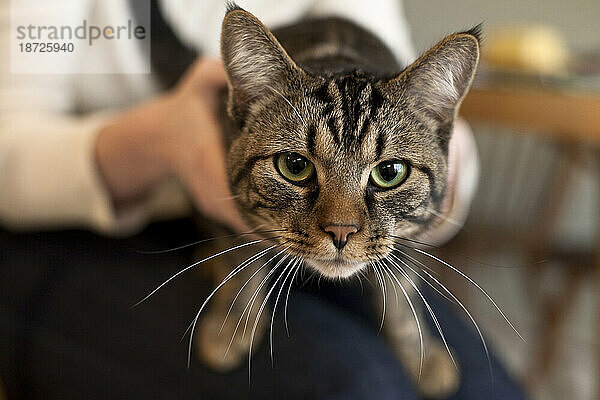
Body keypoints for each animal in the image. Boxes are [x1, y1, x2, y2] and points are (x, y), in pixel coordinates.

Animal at [195, 3, 480, 396]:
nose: (341, 231)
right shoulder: (231, 209)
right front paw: (231, 325)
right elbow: (244, 272)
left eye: (390, 172)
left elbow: (402, 298)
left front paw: (419, 355)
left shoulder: (413, 234)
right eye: (294, 165)